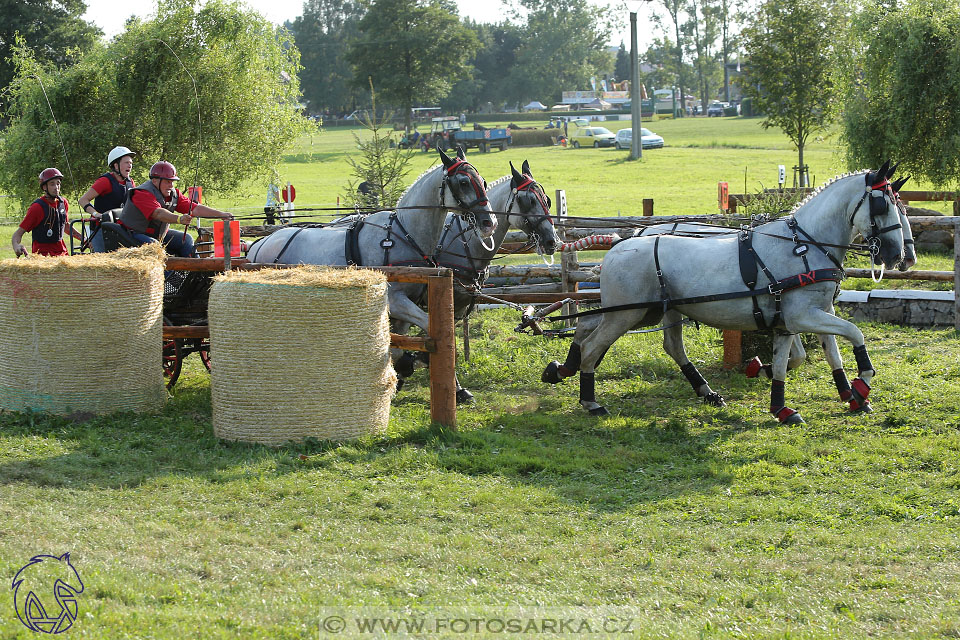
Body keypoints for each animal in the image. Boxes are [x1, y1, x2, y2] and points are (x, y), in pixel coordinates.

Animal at [248, 146, 496, 336]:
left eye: (482, 181)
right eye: (463, 182)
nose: (489, 222)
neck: (405, 233)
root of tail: (258, 245)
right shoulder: (394, 301)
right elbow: (427, 327)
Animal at [544, 165, 904, 422]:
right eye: (881, 204)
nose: (897, 254)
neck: (804, 245)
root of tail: (622, 242)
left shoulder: (794, 318)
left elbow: (798, 359)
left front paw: (782, 404)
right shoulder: (804, 315)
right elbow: (854, 334)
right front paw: (861, 384)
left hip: (650, 311)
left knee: (627, 338)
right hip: (628, 313)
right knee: (592, 344)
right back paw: (590, 400)